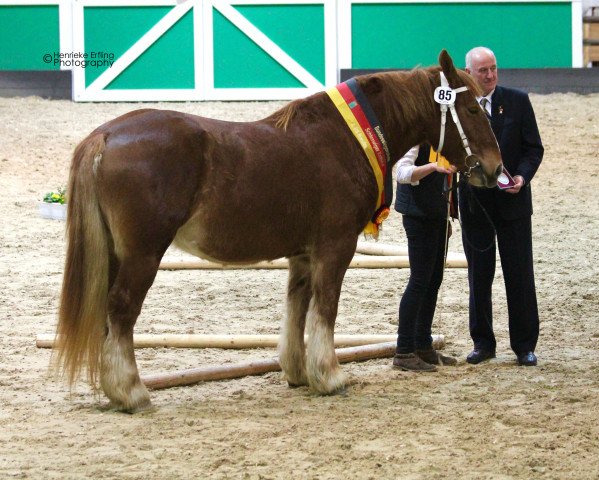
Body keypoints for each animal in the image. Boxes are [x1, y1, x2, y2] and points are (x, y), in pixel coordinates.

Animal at [55, 48, 502, 410]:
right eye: (473, 110)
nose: (495, 169)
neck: (347, 139)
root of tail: (105, 135)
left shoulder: (302, 254)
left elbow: (296, 308)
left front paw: (299, 373)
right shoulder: (335, 247)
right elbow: (326, 308)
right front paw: (330, 376)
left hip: (116, 254)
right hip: (143, 254)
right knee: (121, 310)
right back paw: (132, 392)